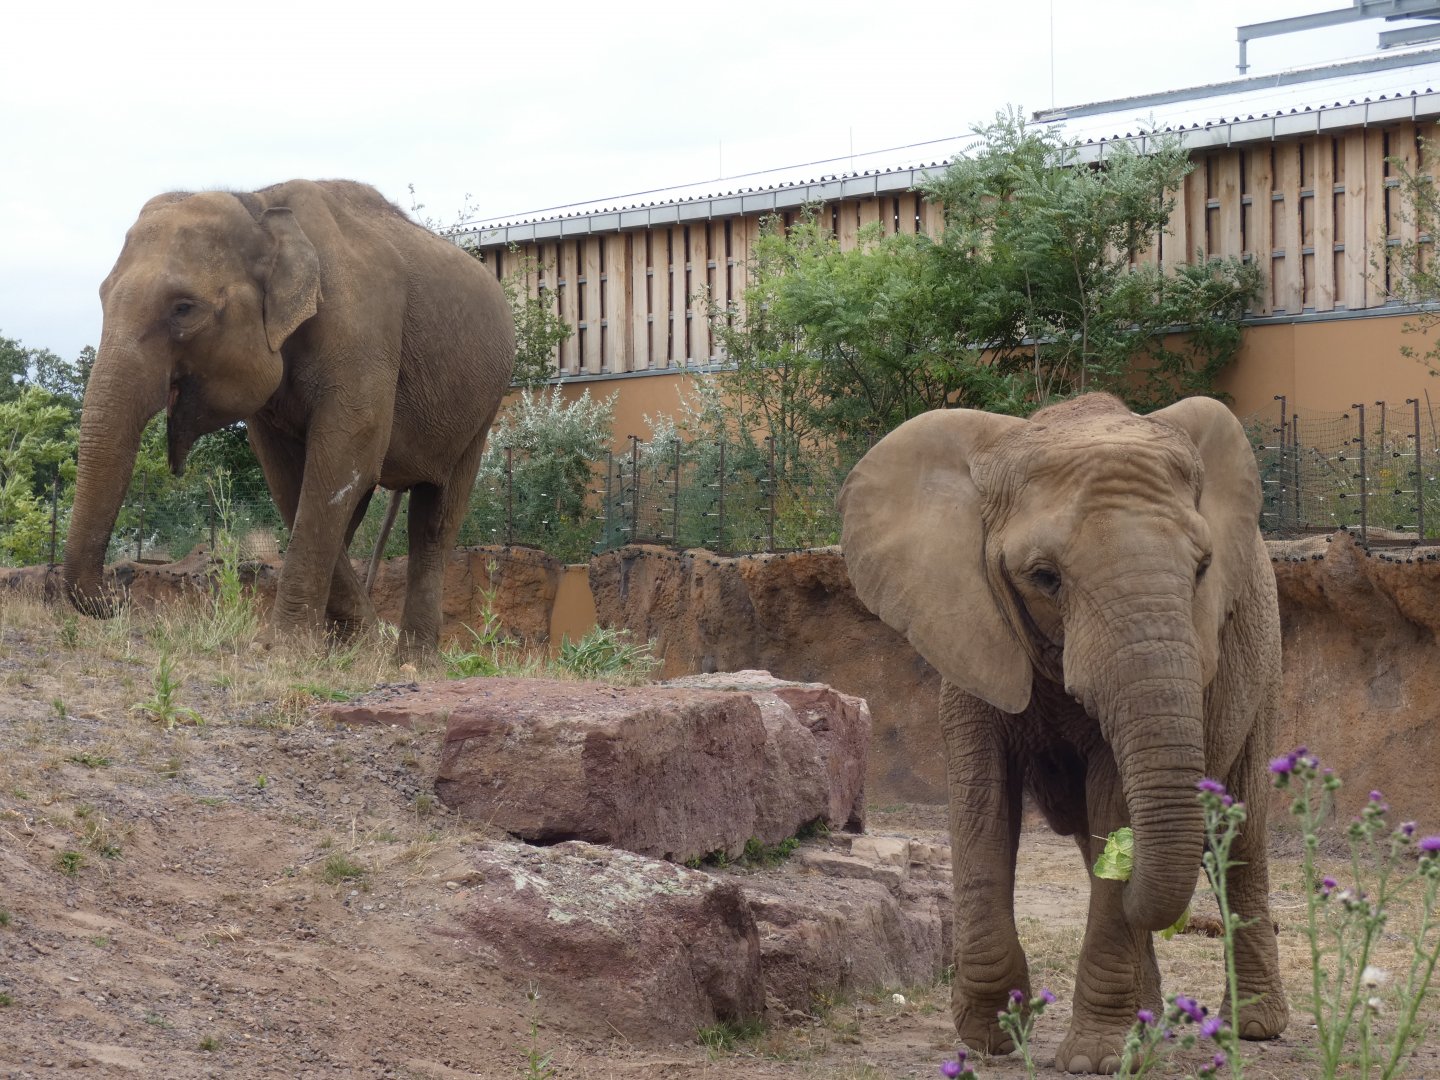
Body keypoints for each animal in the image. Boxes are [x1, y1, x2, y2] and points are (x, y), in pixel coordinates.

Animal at [62, 179, 515, 656]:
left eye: (183, 308)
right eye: (102, 297)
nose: (119, 591)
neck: (260, 204)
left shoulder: (364, 331)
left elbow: (348, 455)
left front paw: (284, 648)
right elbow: (290, 478)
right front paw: (351, 645)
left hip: (484, 406)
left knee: (435, 518)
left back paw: (413, 661)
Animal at [838, 393, 1287, 1073]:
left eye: (1203, 568)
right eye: (1044, 577)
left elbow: (1116, 797)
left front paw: (1096, 1060)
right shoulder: (968, 631)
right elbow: (981, 802)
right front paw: (994, 1037)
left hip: (1261, 663)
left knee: (1238, 836)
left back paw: (1251, 1028)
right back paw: (1147, 1023)